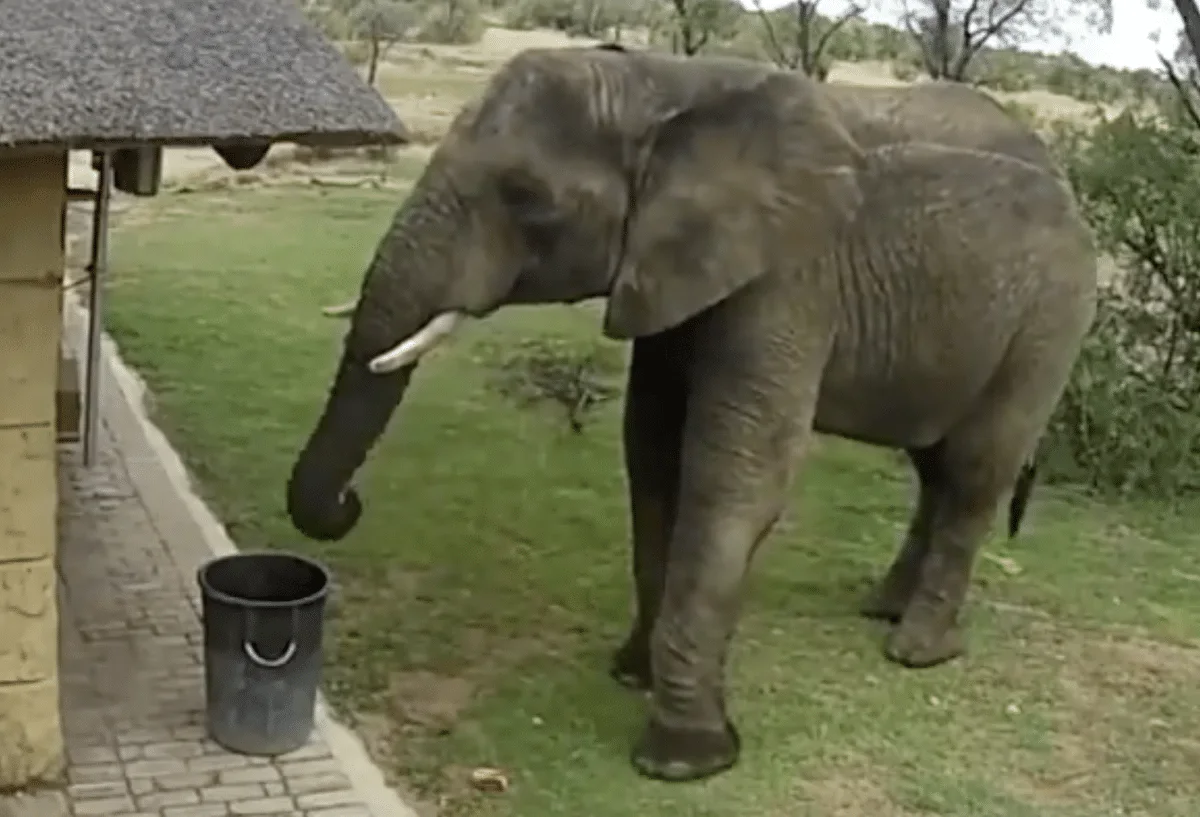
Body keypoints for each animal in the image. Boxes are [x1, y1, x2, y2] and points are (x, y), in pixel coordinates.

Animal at [288, 46, 1099, 782]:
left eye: (525, 197)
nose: (350, 504)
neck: (663, 83)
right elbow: (651, 454)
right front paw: (630, 675)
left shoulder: (787, 277)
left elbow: (735, 473)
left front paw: (686, 759)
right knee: (935, 465)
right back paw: (885, 610)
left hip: (1050, 321)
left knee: (973, 468)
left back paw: (918, 652)